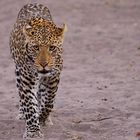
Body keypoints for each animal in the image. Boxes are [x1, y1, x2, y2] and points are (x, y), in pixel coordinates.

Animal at [9, 3, 67, 139]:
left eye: (52, 47)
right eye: (36, 47)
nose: (43, 64)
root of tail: (33, 3)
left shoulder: (53, 78)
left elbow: (48, 102)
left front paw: (42, 118)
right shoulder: (27, 80)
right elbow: (30, 105)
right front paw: (33, 131)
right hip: (18, 72)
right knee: (21, 95)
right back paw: (22, 113)